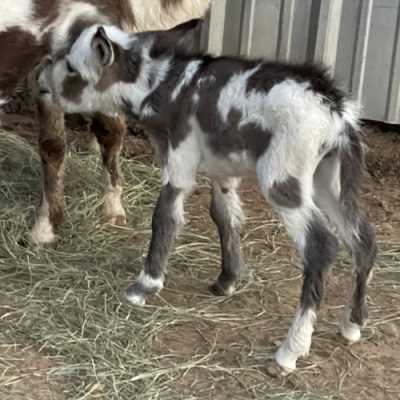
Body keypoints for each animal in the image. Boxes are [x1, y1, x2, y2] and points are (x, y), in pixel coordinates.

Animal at [42, 21, 376, 372]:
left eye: (71, 67)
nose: (41, 77)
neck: (163, 88)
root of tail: (337, 113)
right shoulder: (223, 173)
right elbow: (225, 218)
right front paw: (226, 281)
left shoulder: (179, 161)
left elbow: (164, 217)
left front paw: (144, 286)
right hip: (329, 181)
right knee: (363, 240)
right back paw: (352, 325)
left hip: (284, 178)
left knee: (321, 246)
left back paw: (290, 352)